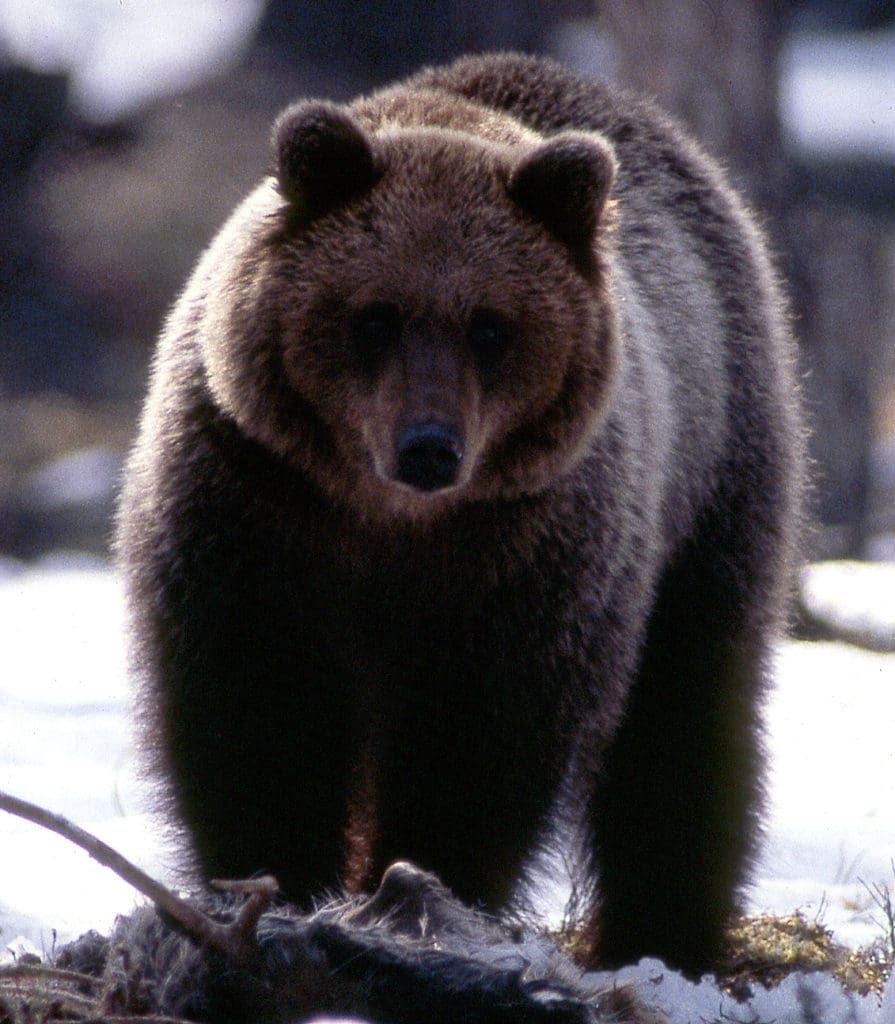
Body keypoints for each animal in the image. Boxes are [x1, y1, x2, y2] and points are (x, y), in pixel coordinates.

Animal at [115, 54, 806, 974]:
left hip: (712, 484)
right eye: (374, 316)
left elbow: (475, 744)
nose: (429, 448)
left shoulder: (525, 556)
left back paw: (662, 936)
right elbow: (255, 711)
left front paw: (420, 896)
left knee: (684, 711)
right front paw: (273, 890)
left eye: (490, 327)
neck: (386, 523)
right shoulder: (253, 509)